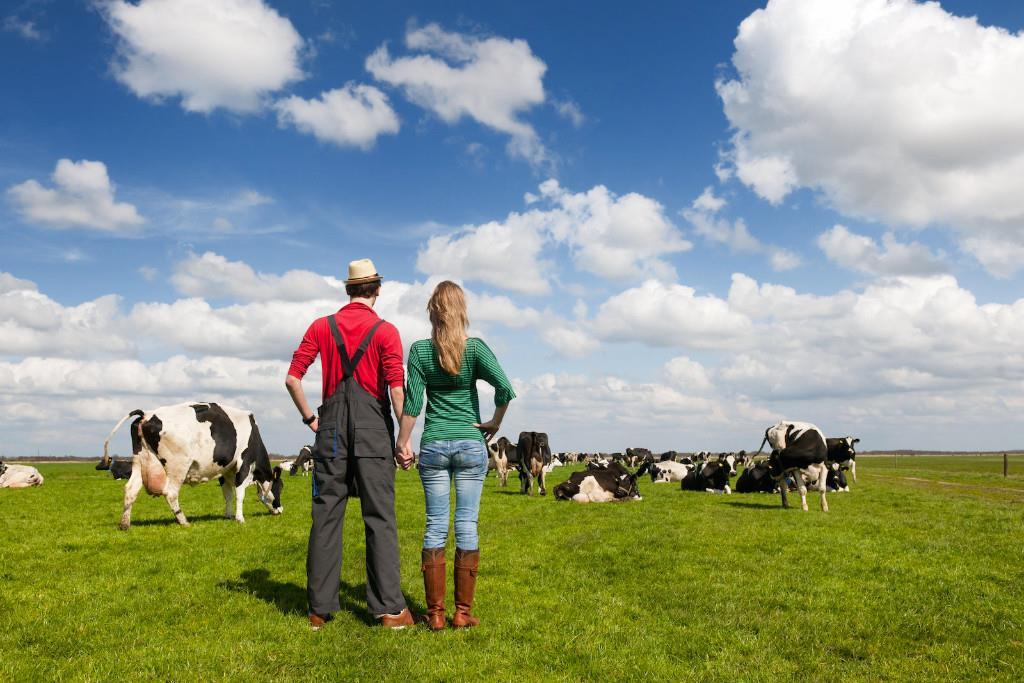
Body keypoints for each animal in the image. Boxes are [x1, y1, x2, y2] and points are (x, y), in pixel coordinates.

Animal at [104, 403, 284, 532]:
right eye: (279, 487)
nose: (280, 510)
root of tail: (147, 414)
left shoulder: (224, 471)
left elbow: (228, 495)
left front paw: (228, 515)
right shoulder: (244, 463)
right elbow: (240, 494)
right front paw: (240, 518)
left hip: (139, 463)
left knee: (130, 490)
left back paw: (125, 524)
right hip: (177, 467)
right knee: (170, 493)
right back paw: (183, 521)